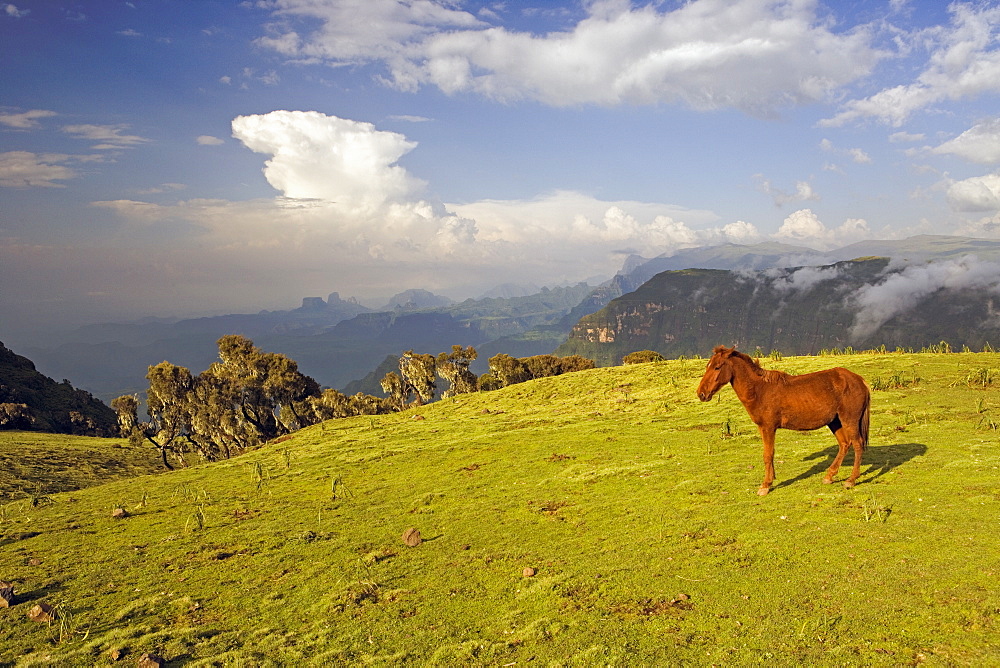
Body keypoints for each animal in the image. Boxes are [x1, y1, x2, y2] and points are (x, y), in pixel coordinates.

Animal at [696, 344, 868, 496]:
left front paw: (765, 485)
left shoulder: (768, 427)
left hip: (849, 420)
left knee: (857, 444)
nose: (701, 393)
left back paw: (851, 480)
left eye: (717, 367)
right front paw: (770, 479)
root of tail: (859, 380)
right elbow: (767, 454)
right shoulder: (762, 428)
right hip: (835, 422)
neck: (759, 390)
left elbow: (768, 454)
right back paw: (829, 476)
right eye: (707, 366)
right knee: (844, 444)